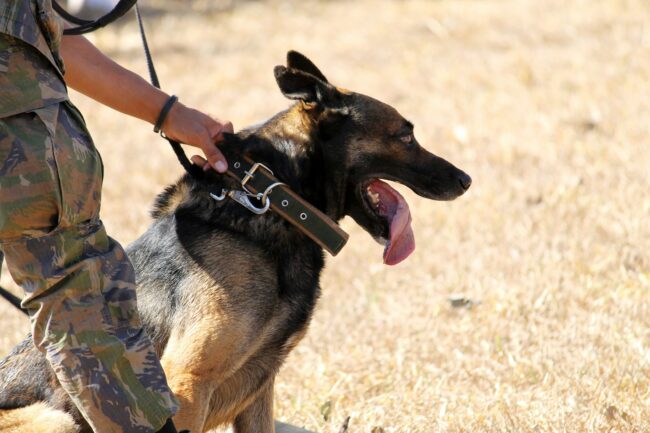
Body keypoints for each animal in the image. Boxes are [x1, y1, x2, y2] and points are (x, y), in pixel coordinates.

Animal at [0, 51, 468, 432]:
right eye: (405, 135)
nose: (466, 179)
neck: (273, 201)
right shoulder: (186, 383)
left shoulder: (259, 390)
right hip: (56, 418)